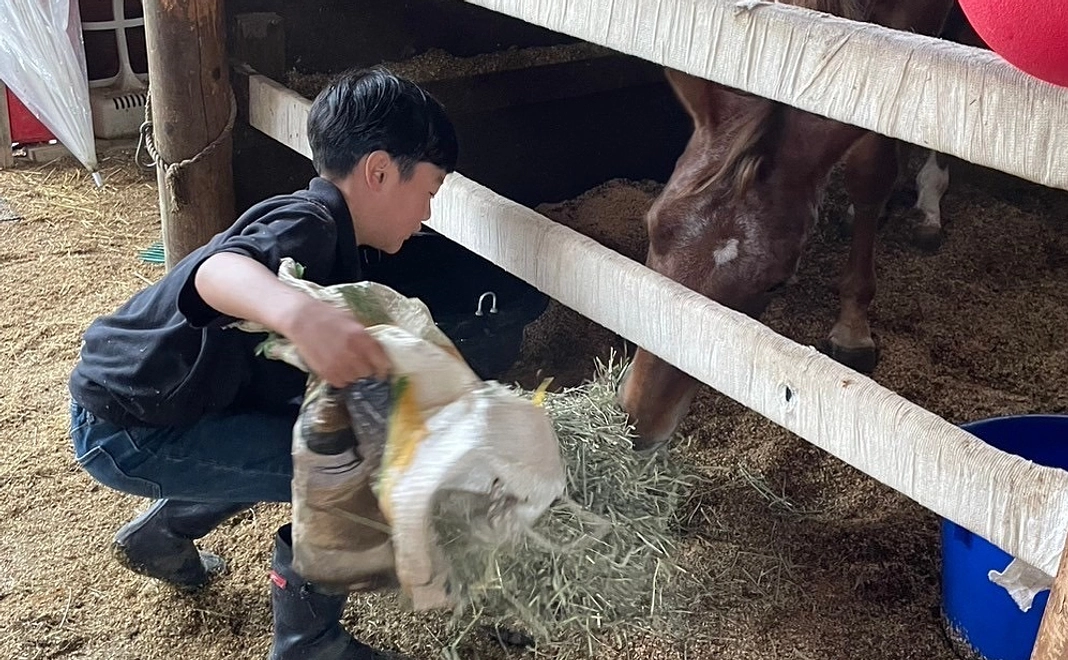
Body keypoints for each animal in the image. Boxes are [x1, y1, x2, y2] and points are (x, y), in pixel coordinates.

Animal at [619, 0, 961, 446]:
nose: (639, 421)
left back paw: (928, 206)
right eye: (652, 226)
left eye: (775, 283)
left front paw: (852, 328)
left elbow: (871, 169)